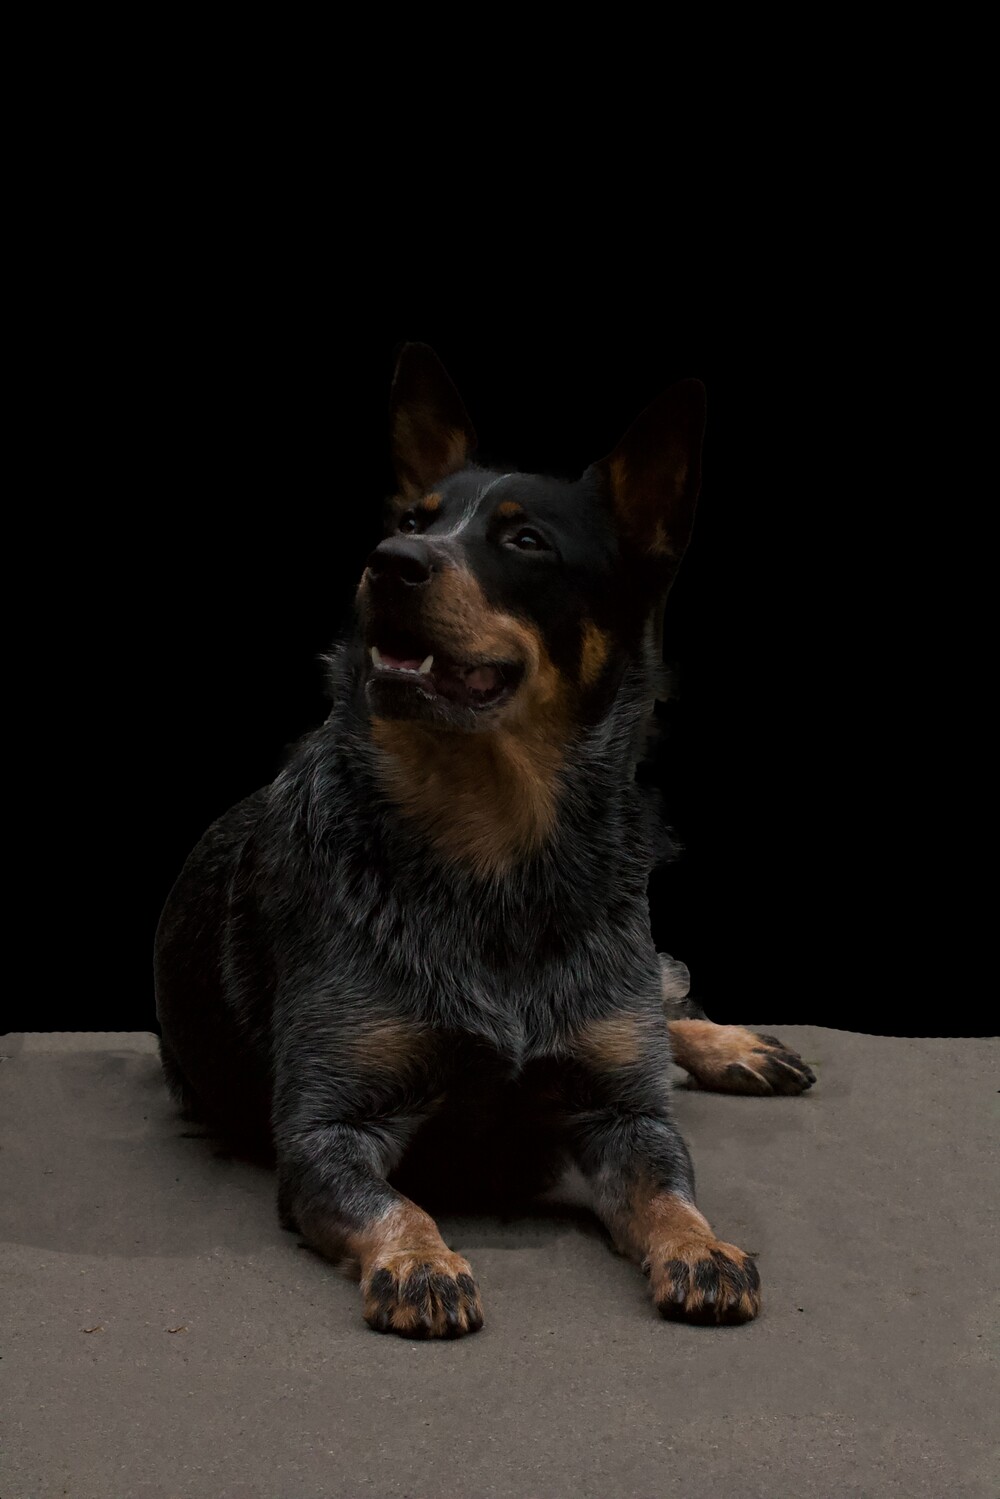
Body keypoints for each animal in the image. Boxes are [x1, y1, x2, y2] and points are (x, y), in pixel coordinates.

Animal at [154, 343, 815, 1339]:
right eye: (412, 521)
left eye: (525, 541)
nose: (388, 561)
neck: (497, 853)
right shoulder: (328, 1125)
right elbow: (396, 1201)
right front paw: (419, 1262)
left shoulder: (625, 1111)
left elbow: (670, 1183)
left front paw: (702, 1245)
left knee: (663, 997)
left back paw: (732, 1043)